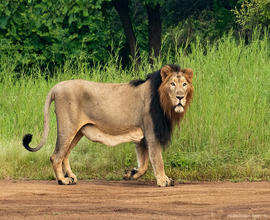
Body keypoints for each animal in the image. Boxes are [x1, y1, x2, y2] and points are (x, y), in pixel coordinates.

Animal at [22, 64, 193, 186]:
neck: (165, 103)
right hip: (67, 128)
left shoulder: (141, 136)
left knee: (65, 154)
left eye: (184, 84)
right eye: (172, 84)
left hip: (77, 132)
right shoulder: (151, 133)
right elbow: (158, 159)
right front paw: (163, 180)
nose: (180, 97)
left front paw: (130, 173)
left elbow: (144, 164)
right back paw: (62, 180)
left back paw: (70, 177)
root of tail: (57, 86)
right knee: (56, 155)